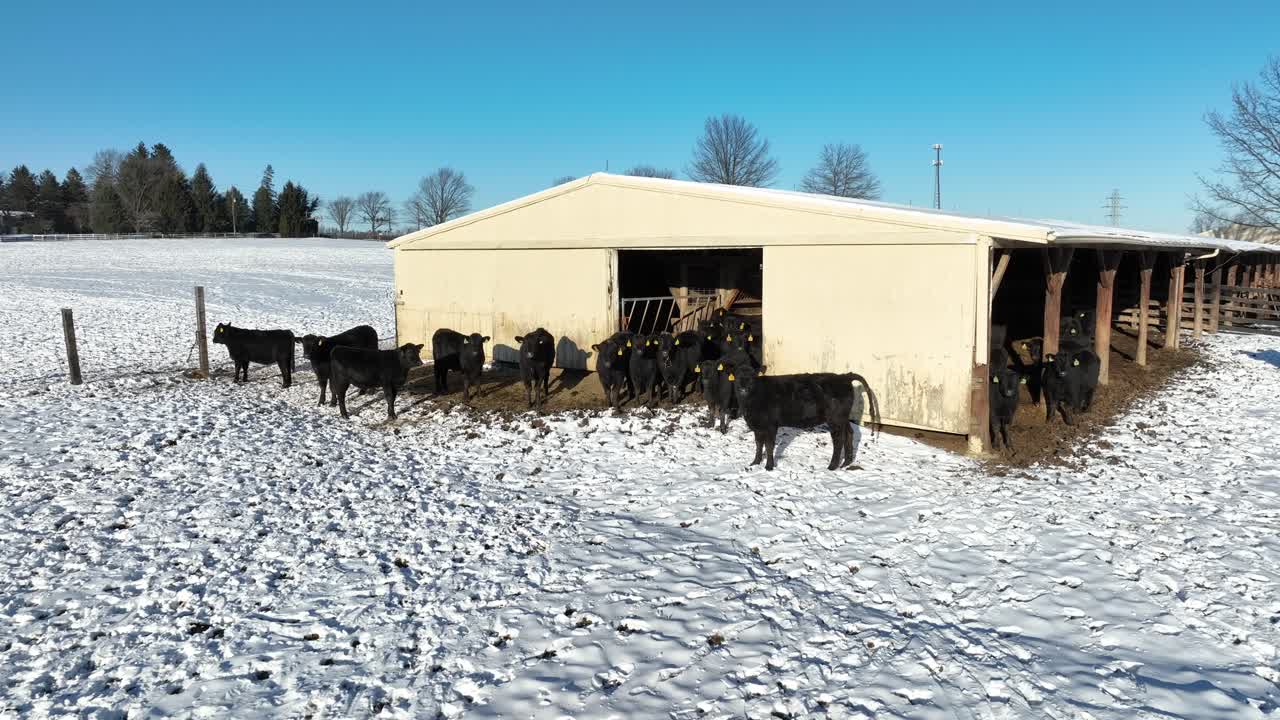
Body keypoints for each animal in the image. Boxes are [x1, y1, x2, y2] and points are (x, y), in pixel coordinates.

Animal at [732, 366, 881, 471]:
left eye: (752, 377)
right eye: (738, 376)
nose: (744, 386)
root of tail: (843, 376)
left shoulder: (771, 425)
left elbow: (768, 446)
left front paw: (769, 467)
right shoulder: (757, 425)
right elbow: (758, 444)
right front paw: (755, 463)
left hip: (835, 419)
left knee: (838, 440)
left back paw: (832, 466)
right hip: (843, 418)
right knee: (849, 433)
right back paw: (846, 463)